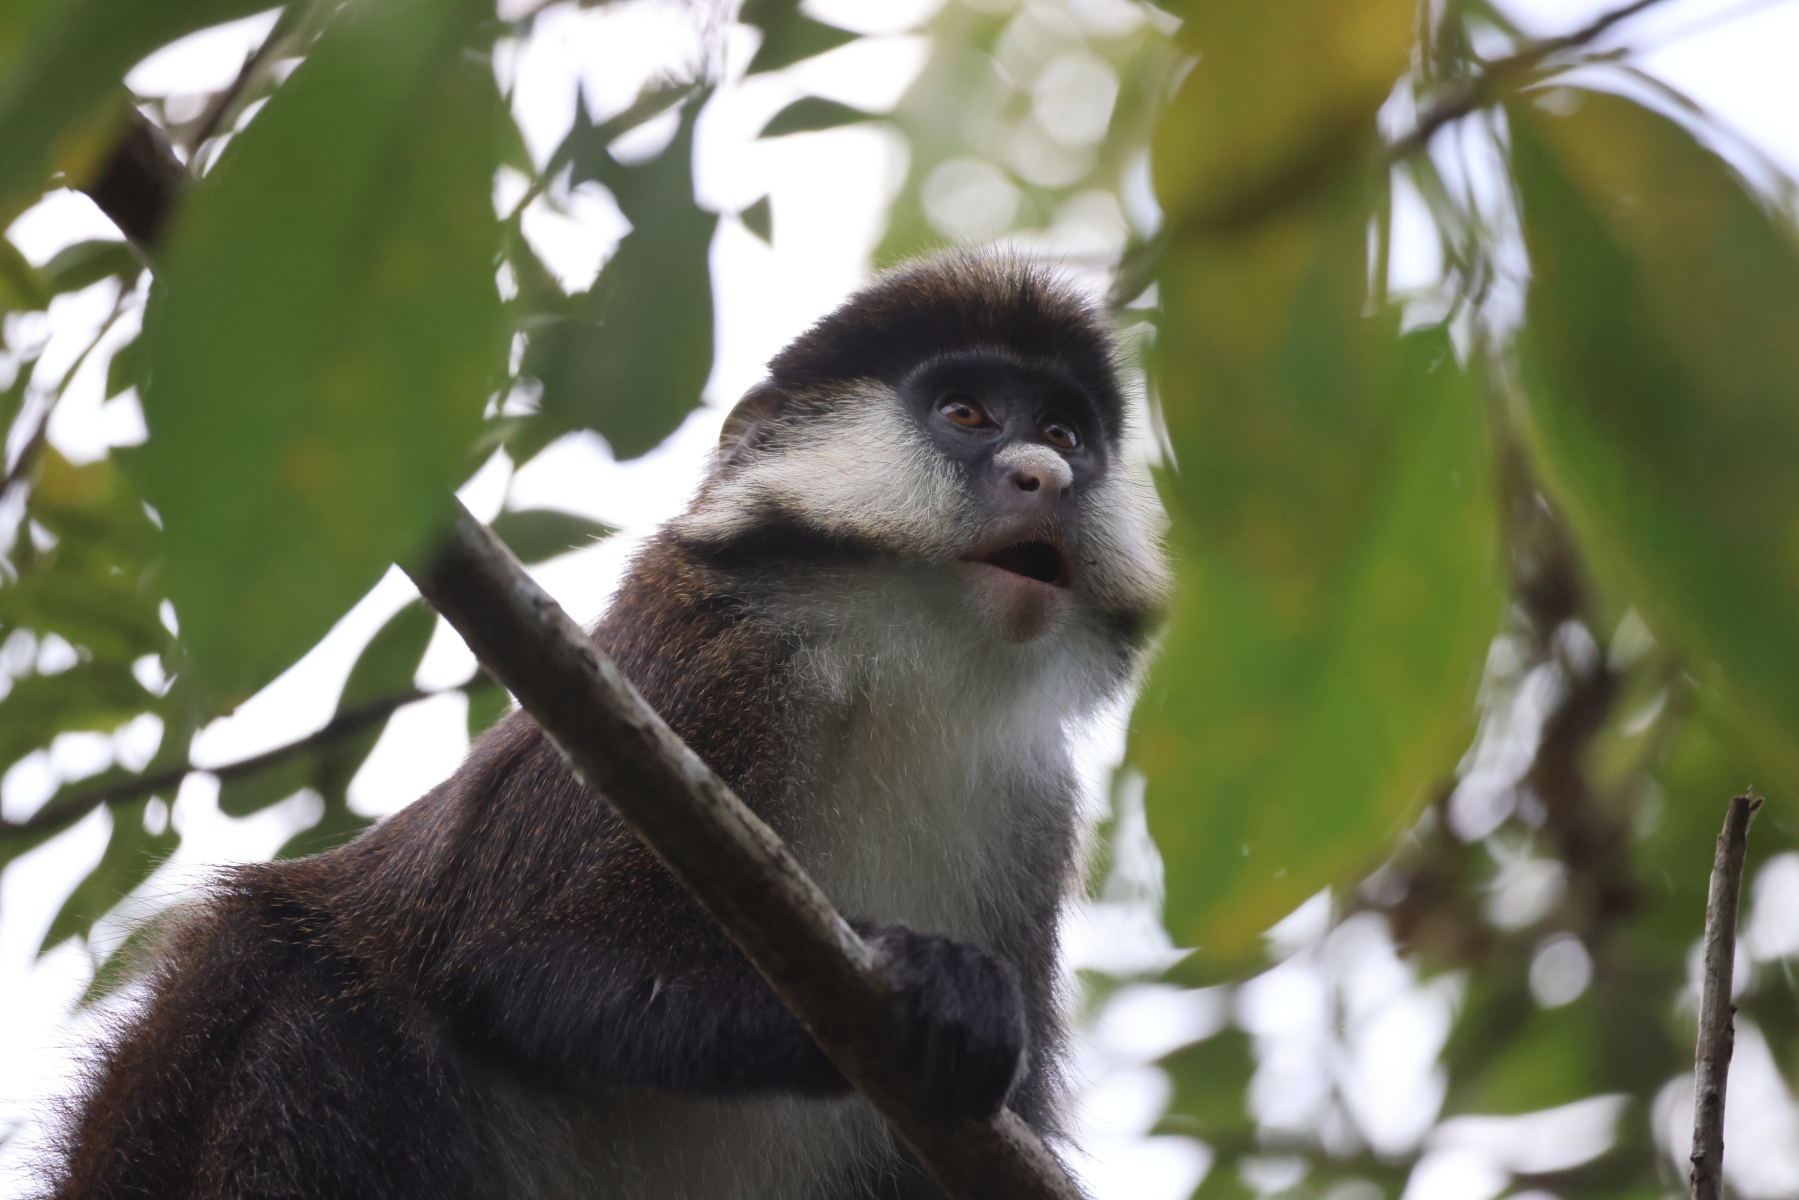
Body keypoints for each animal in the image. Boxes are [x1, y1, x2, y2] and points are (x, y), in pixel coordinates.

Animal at [45, 252, 1169, 1200]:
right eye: (966, 413)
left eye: (1063, 436)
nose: (1044, 477)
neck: (909, 669)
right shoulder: (696, 667)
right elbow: (521, 959)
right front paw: (922, 978)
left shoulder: (1034, 807)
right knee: (303, 999)